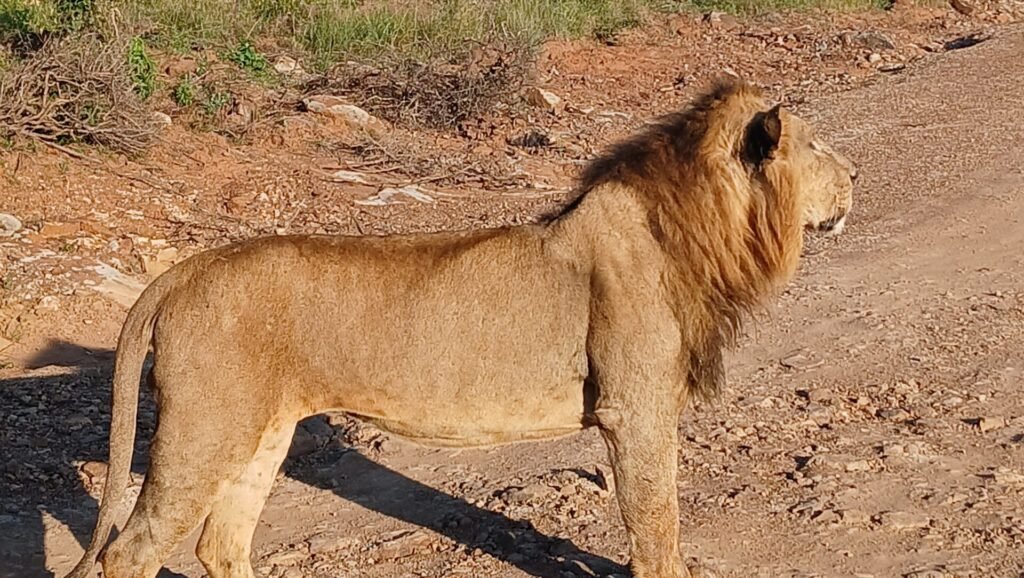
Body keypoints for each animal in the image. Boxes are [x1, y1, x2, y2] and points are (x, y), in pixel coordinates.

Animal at [66, 78, 856, 578]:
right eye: (817, 148)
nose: (856, 177)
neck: (702, 232)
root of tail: (183, 271)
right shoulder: (635, 410)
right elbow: (657, 526)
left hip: (263, 433)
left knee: (220, 546)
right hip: (205, 430)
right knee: (129, 552)